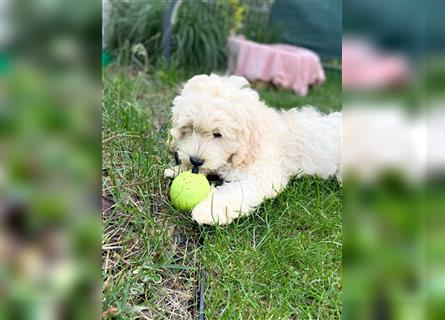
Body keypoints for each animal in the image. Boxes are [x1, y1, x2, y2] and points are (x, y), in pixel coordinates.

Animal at [165, 74, 342, 225]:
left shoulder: (262, 175)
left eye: (217, 134)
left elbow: (236, 192)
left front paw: (209, 210)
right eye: (190, 128)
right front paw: (178, 169)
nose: (195, 160)